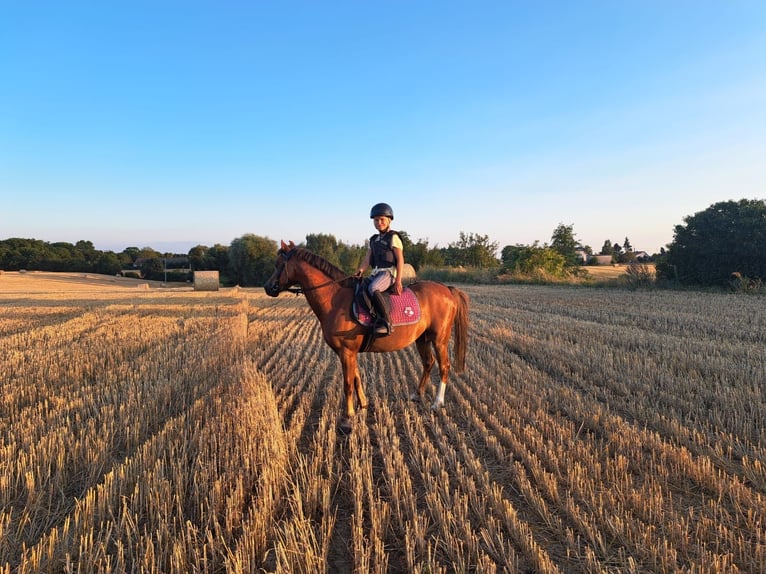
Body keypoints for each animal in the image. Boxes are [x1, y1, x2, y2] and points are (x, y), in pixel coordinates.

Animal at [264, 241, 468, 434]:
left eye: (279, 264)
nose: (267, 287)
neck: (336, 299)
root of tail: (446, 289)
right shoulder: (348, 352)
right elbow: (356, 377)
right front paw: (362, 404)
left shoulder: (346, 351)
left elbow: (347, 384)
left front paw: (347, 419)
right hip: (422, 339)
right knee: (428, 363)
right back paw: (417, 394)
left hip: (439, 339)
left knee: (444, 366)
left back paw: (437, 402)